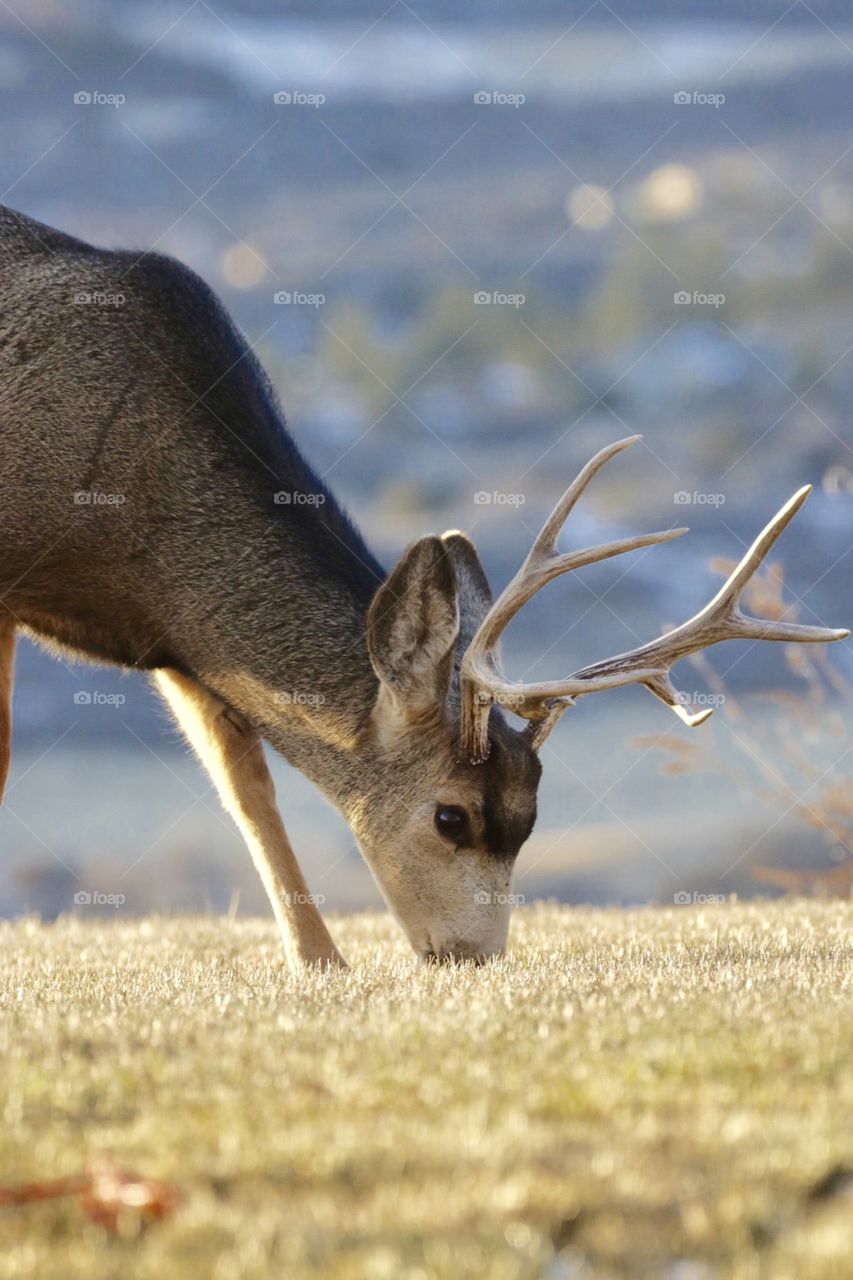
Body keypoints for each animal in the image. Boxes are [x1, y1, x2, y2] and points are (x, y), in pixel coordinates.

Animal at [0, 209, 845, 962]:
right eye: (451, 817)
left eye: (530, 819)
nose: (474, 955)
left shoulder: (184, 645)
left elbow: (247, 789)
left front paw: (320, 964)